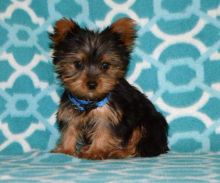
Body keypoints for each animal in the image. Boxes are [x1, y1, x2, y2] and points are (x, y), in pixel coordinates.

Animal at [49, 17, 168, 159]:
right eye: (78, 64)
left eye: (105, 65)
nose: (92, 84)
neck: (90, 101)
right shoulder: (70, 111)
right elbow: (69, 129)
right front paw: (65, 150)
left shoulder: (108, 116)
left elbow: (103, 132)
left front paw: (95, 152)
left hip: (149, 124)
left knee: (138, 141)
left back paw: (119, 152)